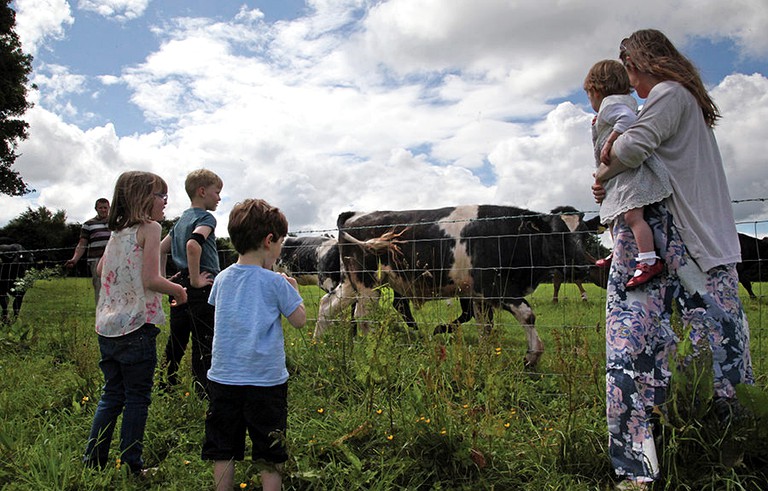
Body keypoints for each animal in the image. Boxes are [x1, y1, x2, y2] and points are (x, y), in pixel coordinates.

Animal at [316, 204, 596, 366]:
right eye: (556, 235)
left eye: (584, 234)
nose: (582, 267)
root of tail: (356, 214)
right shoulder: (495, 286)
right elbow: (527, 314)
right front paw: (532, 356)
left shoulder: (479, 295)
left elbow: (485, 326)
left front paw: (485, 358)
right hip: (367, 283)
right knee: (363, 316)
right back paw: (371, 349)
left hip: (351, 282)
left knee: (327, 305)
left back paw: (318, 343)